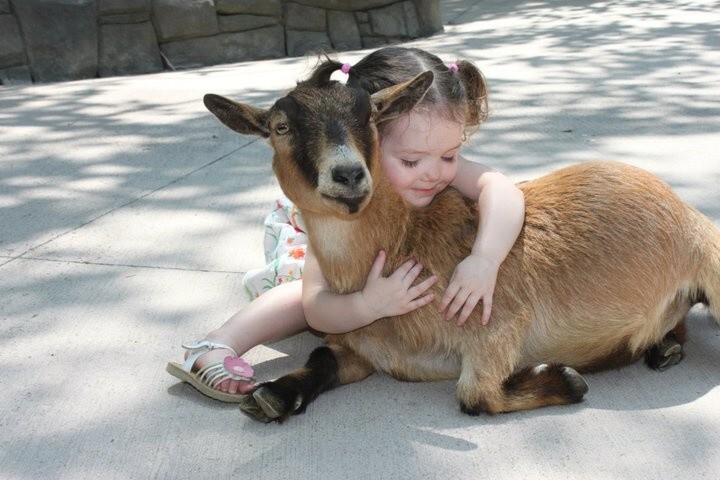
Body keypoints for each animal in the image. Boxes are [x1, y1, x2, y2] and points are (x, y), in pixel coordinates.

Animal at [202, 69, 720, 422]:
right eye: (280, 127)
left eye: (370, 116)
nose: (348, 174)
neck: (404, 239)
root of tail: (687, 213)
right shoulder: (360, 346)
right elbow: (322, 359)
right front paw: (272, 396)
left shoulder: (500, 323)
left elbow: (475, 395)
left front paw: (569, 379)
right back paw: (661, 348)